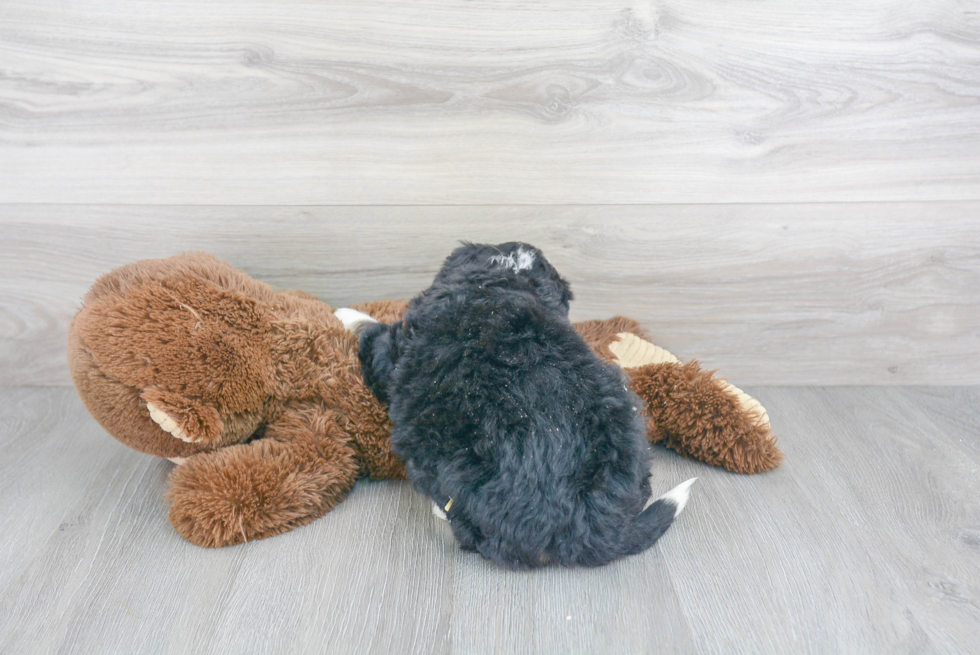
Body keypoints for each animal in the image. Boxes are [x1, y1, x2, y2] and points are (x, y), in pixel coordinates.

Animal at [348, 242, 692, 568]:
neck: (502, 280)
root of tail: (593, 527)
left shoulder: (392, 351)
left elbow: (373, 334)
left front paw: (349, 315)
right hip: (624, 407)